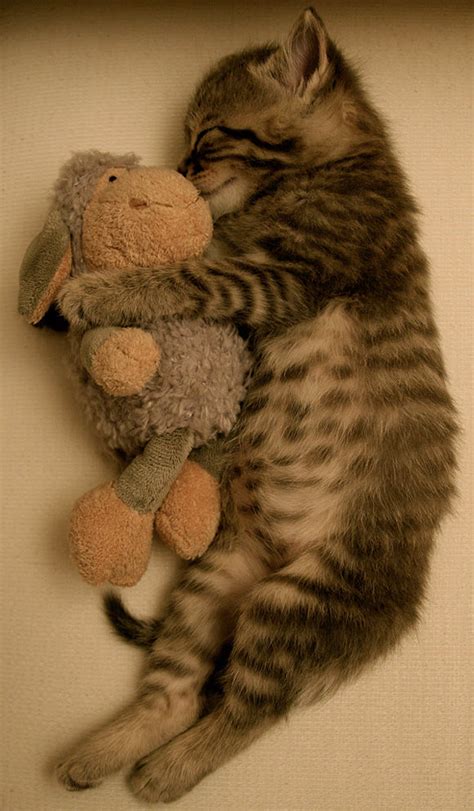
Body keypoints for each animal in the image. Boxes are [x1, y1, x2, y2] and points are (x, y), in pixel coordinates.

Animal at [57, 7, 458, 804]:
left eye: (208, 134)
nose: (180, 170)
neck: (340, 164)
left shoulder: (276, 278)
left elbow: (183, 275)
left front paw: (101, 289)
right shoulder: (260, 280)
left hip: (299, 602)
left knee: (250, 712)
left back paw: (166, 772)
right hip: (211, 581)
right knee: (179, 694)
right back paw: (101, 752)